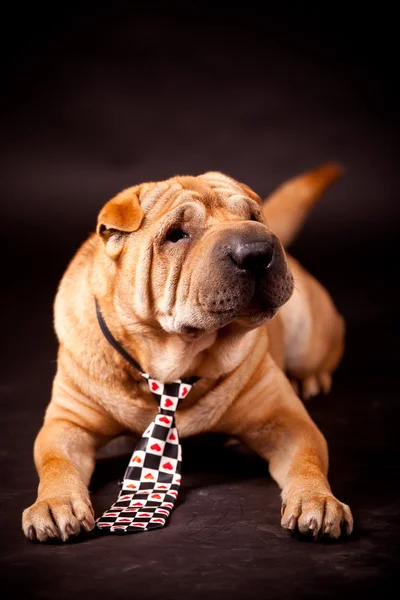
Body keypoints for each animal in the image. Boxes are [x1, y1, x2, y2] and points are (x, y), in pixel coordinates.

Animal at [22, 164, 354, 544]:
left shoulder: (288, 422)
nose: (257, 250)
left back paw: (309, 378)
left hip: (310, 332)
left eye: (253, 217)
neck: (172, 367)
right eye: (176, 235)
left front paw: (318, 500)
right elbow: (55, 462)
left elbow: (308, 459)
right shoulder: (67, 423)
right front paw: (55, 503)